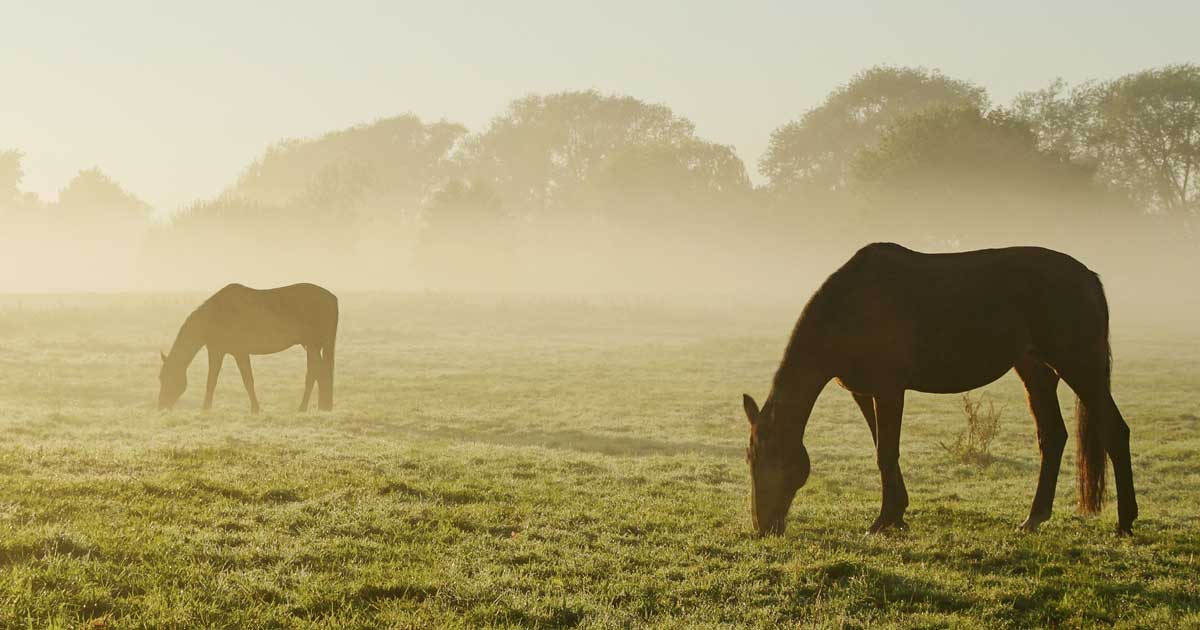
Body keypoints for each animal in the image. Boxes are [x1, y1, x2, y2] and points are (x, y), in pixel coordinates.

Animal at [158, 280, 338, 410]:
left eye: (167, 377)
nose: (161, 406)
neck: (216, 315)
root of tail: (332, 298)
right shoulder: (217, 351)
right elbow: (212, 381)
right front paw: (206, 408)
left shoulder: (240, 352)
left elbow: (247, 381)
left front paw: (255, 409)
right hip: (311, 346)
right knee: (316, 373)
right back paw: (318, 407)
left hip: (313, 345)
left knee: (317, 373)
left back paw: (305, 407)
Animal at [744, 243, 1137, 537]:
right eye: (750, 459)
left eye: (771, 456)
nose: (763, 527)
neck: (850, 308)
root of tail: (1089, 277)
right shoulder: (864, 392)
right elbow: (881, 447)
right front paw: (897, 514)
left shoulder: (889, 389)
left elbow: (886, 452)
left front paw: (883, 520)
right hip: (1035, 371)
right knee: (1053, 437)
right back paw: (1034, 517)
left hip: (1080, 368)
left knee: (1114, 431)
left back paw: (1125, 521)